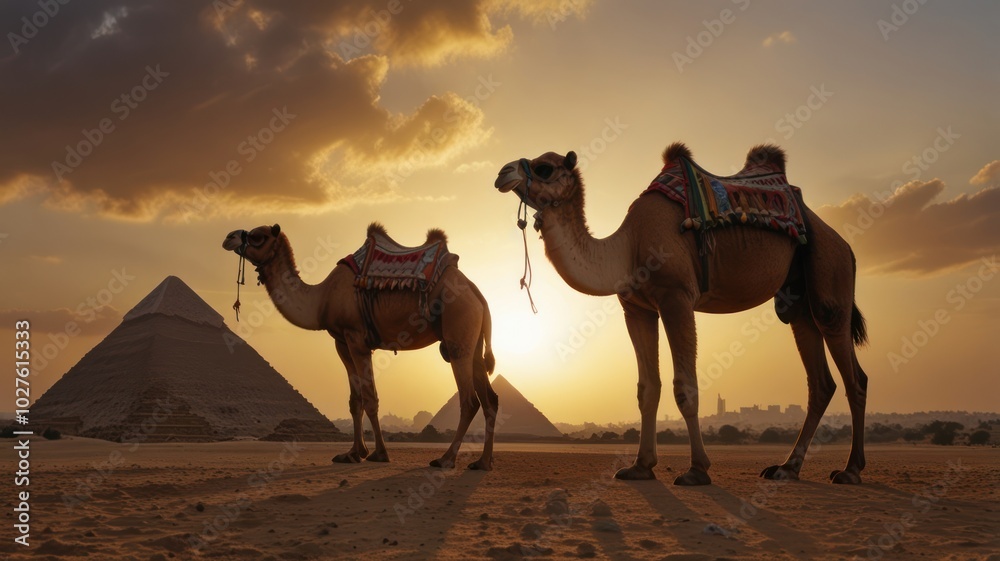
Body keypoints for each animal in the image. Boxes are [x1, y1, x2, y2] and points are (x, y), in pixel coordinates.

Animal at [221, 222, 498, 468]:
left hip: (457, 333)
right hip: (473, 342)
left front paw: (380, 454)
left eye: (258, 236)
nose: (229, 237)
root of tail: (477, 294)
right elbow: (355, 401)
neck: (322, 299)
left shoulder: (357, 339)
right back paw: (482, 462)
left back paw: (446, 459)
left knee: (469, 400)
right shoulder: (341, 341)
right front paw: (353, 453)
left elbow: (370, 397)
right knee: (490, 399)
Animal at [496, 144, 872, 486]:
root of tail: (846, 244)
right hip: (797, 303)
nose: (503, 172)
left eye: (544, 168)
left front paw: (697, 470)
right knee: (820, 382)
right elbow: (647, 389)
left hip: (830, 273)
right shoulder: (636, 309)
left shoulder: (676, 297)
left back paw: (850, 471)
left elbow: (685, 388)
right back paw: (786, 468)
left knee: (854, 376)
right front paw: (640, 467)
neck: (627, 248)